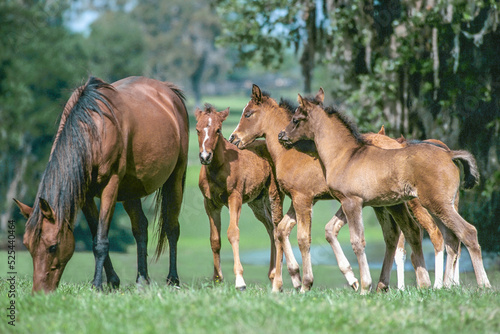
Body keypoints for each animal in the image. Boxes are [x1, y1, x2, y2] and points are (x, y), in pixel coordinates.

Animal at [194, 104, 282, 290]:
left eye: (218, 130)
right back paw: (272, 275)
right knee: (271, 229)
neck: (218, 167)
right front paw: (217, 279)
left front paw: (240, 281)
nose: (205, 156)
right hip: (257, 202)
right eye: (197, 129)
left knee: (278, 229)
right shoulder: (210, 203)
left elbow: (233, 232)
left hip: (274, 195)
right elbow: (215, 239)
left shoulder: (235, 197)